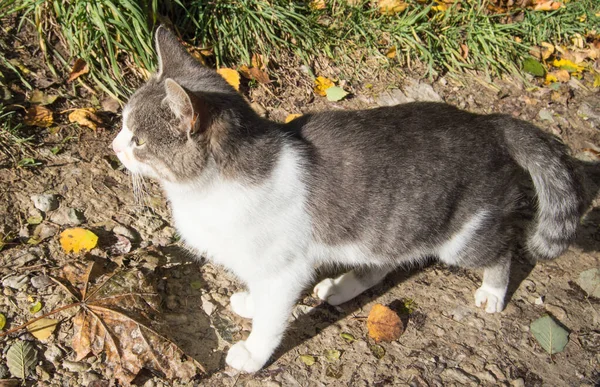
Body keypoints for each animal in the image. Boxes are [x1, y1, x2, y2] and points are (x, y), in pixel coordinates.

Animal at [111, 26, 580, 372]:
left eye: (138, 140)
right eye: (122, 124)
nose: (114, 147)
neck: (207, 191)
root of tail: (489, 122)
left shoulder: (283, 270)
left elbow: (271, 318)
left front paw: (252, 352)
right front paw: (251, 301)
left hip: (462, 236)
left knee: (501, 248)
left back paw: (492, 291)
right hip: (392, 222)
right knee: (386, 258)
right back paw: (342, 285)